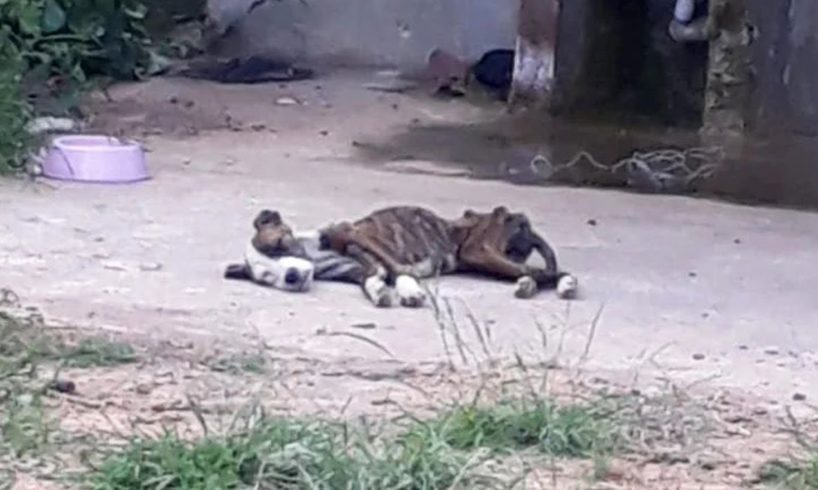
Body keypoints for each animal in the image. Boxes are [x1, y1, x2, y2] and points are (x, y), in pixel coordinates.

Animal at [226, 206, 576, 306]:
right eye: (265, 277)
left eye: (279, 245)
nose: (291, 277)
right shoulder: (362, 270)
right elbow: (372, 280)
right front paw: (380, 292)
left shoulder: (366, 242)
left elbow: (399, 272)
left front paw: (409, 291)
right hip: (487, 259)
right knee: (534, 273)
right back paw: (529, 285)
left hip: (481, 251)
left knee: (551, 273)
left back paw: (565, 284)